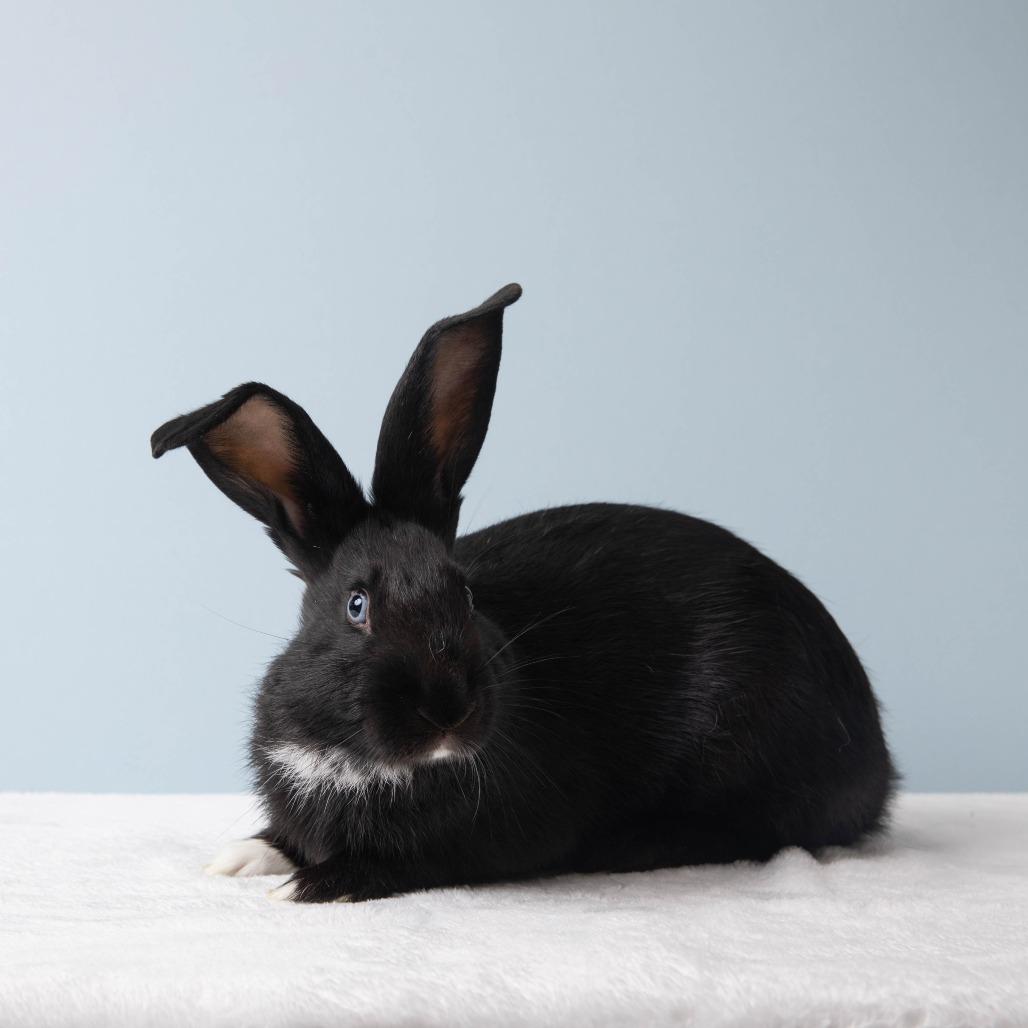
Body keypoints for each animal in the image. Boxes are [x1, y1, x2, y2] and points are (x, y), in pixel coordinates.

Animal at [151, 283, 896, 903]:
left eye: (465, 596)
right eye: (357, 606)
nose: (447, 710)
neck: (364, 758)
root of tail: (877, 760)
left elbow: (405, 861)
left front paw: (310, 884)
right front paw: (243, 857)